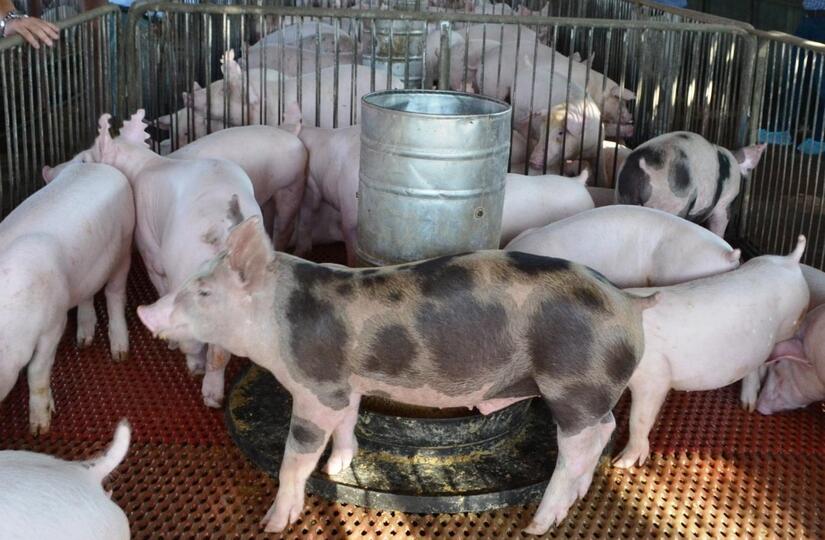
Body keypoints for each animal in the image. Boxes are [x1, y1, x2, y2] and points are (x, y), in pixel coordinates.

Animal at [1, 163, 134, 434]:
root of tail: (103, 166)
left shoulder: (53, 323)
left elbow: (36, 371)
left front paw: (40, 428)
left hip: (124, 247)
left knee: (115, 294)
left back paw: (119, 352)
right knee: (87, 293)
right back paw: (83, 341)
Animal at [137, 213, 657, 535]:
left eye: (204, 291)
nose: (145, 311)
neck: (275, 322)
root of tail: (629, 303)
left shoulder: (316, 388)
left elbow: (294, 458)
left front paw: (274, 522)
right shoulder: (347, 384)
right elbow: (348, 423)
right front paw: (339, 465)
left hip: (573, 385)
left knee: (577, 447)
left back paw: (539, 522)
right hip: (589, 394)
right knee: (604, 429)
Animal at [614, 236, 809, 468]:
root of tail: (791, 260)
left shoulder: (654, 376)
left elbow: (638, 419)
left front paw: (620, 463)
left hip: (790, 325)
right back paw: (747, 405)